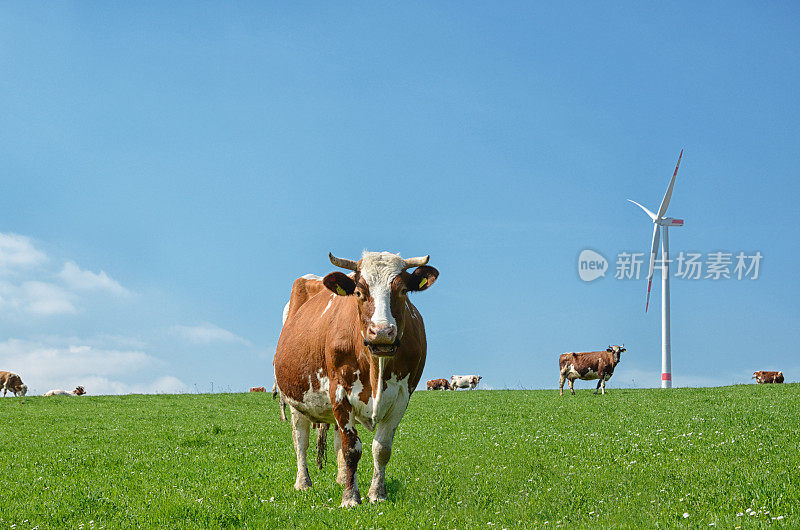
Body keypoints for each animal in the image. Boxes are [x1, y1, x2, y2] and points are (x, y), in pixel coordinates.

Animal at [274, 250, 438, 506]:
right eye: (359, 293)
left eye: (402, 290)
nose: (381, 333)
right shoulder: (339, 391)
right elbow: (352, 448)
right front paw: (350, 498)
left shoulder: (402, 396)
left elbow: (381, 449)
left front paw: (376, 494)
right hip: (294, 399)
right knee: (301, 439)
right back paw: (303, 483)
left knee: (335, 441)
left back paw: (342, 479)